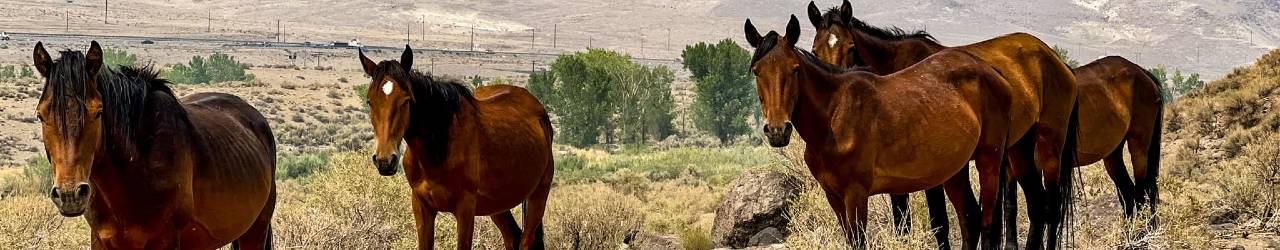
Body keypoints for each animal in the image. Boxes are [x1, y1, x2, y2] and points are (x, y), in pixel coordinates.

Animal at [747, 15, 1013, 247]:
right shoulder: (833, 196)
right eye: (757, 71)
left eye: (794, 69)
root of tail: (993, 72)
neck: (834, 116)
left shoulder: (856, 194)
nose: (778, 130)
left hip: (988, 160)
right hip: (954, 170)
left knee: (987, 224)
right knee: (970, 220)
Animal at [808, 1, 1080, 247]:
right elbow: (902, 222)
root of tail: (1057, 61)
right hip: (1018, 150)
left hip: (1049, 146)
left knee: (1052, 207)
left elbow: (939, 221)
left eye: (851, 47)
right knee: (1037, 205)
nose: (835, 84)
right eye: (815, 50)